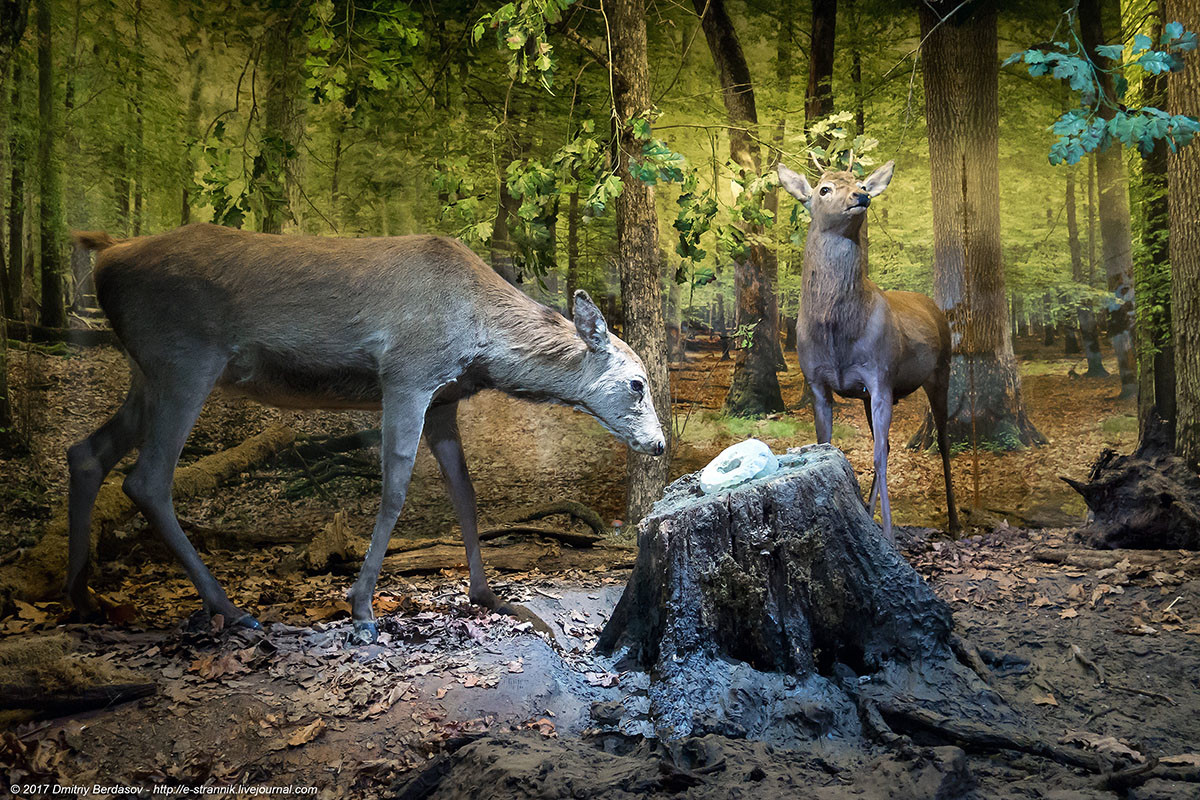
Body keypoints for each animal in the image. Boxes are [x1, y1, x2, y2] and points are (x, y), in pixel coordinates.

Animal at [65, 224, 667, 642]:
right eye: (637, 384)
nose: (659, 444)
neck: (481, 344)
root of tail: (106, 258)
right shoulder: (407, 372)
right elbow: (395, 488)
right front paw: (361, 608)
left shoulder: (443, 398)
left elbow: (466, 493)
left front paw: (488, 595)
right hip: (185, 359)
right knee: (146, 479)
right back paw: (231, 610)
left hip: (147, 371)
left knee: (85, 452)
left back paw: (80, 597)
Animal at [772, 159, 960, 542]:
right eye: (824, 189)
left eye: (860, 182)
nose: (861, 196)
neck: (838, 335)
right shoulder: (818, 382)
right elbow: (829, 444)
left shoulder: (880, 376)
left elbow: (878, 457)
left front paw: (887, 534)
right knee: (886, 444)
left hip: (940, 371)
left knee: (943, 441)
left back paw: (953, 522)